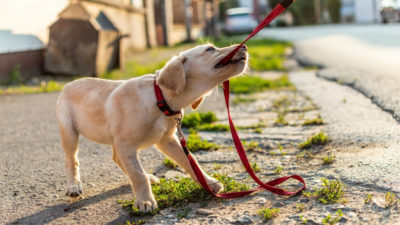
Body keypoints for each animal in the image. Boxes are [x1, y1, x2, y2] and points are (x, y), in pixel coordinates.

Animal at [55, 43, 247, 212]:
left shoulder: (167, 140)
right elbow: (137, 175)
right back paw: (74, 186)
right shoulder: (126, 143)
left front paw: (208, 182)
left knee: (117, 158)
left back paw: (148, 176)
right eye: (210, 49)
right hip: (70, 132)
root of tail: (68, 84)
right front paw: (145, 201)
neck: (159, 98)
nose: (244, 46)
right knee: (71, 160)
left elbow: (191, 161)